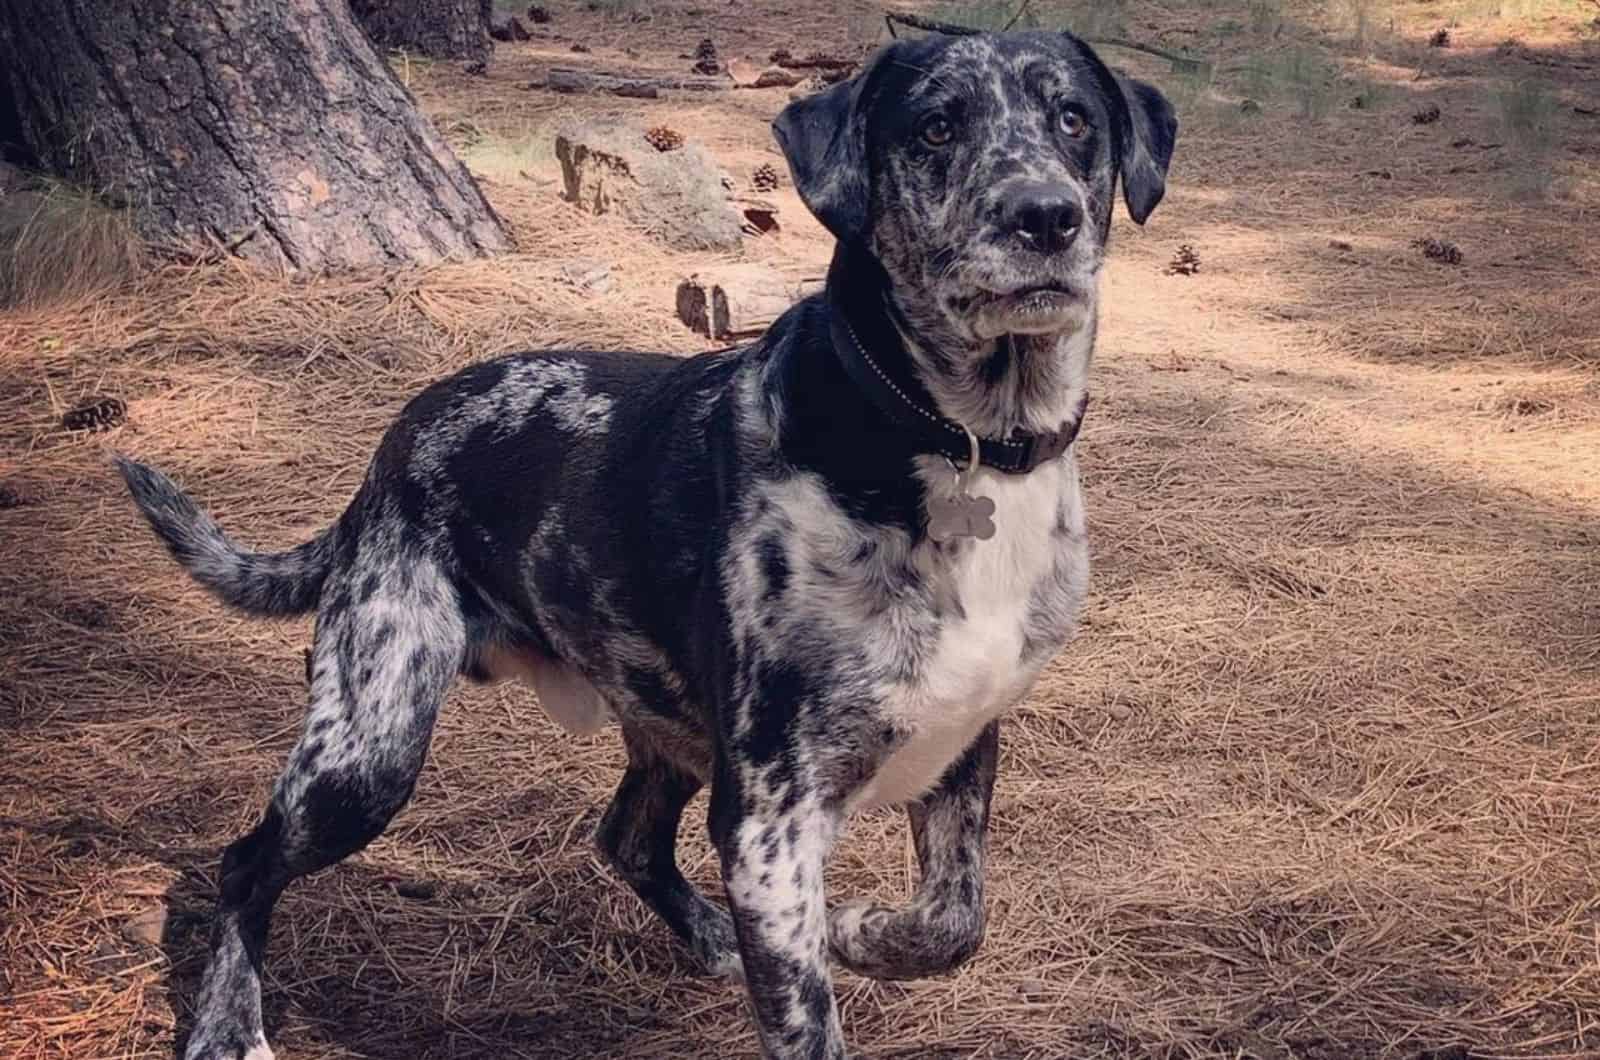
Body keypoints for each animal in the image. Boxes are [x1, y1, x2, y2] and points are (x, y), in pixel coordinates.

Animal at [118, 31, 1177, 1060]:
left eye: (1073, 118)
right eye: (934, 128)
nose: (1045, 217)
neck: (956, 441)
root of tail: (390, 450)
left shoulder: (963, 739)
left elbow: (954, 921)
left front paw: (861, 930)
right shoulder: (771, 818)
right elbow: (810, 1005)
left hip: (661, 727)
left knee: (625, 837)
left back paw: (711, 934)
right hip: (368, 746)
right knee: (244, 861)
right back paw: (226, 1024)